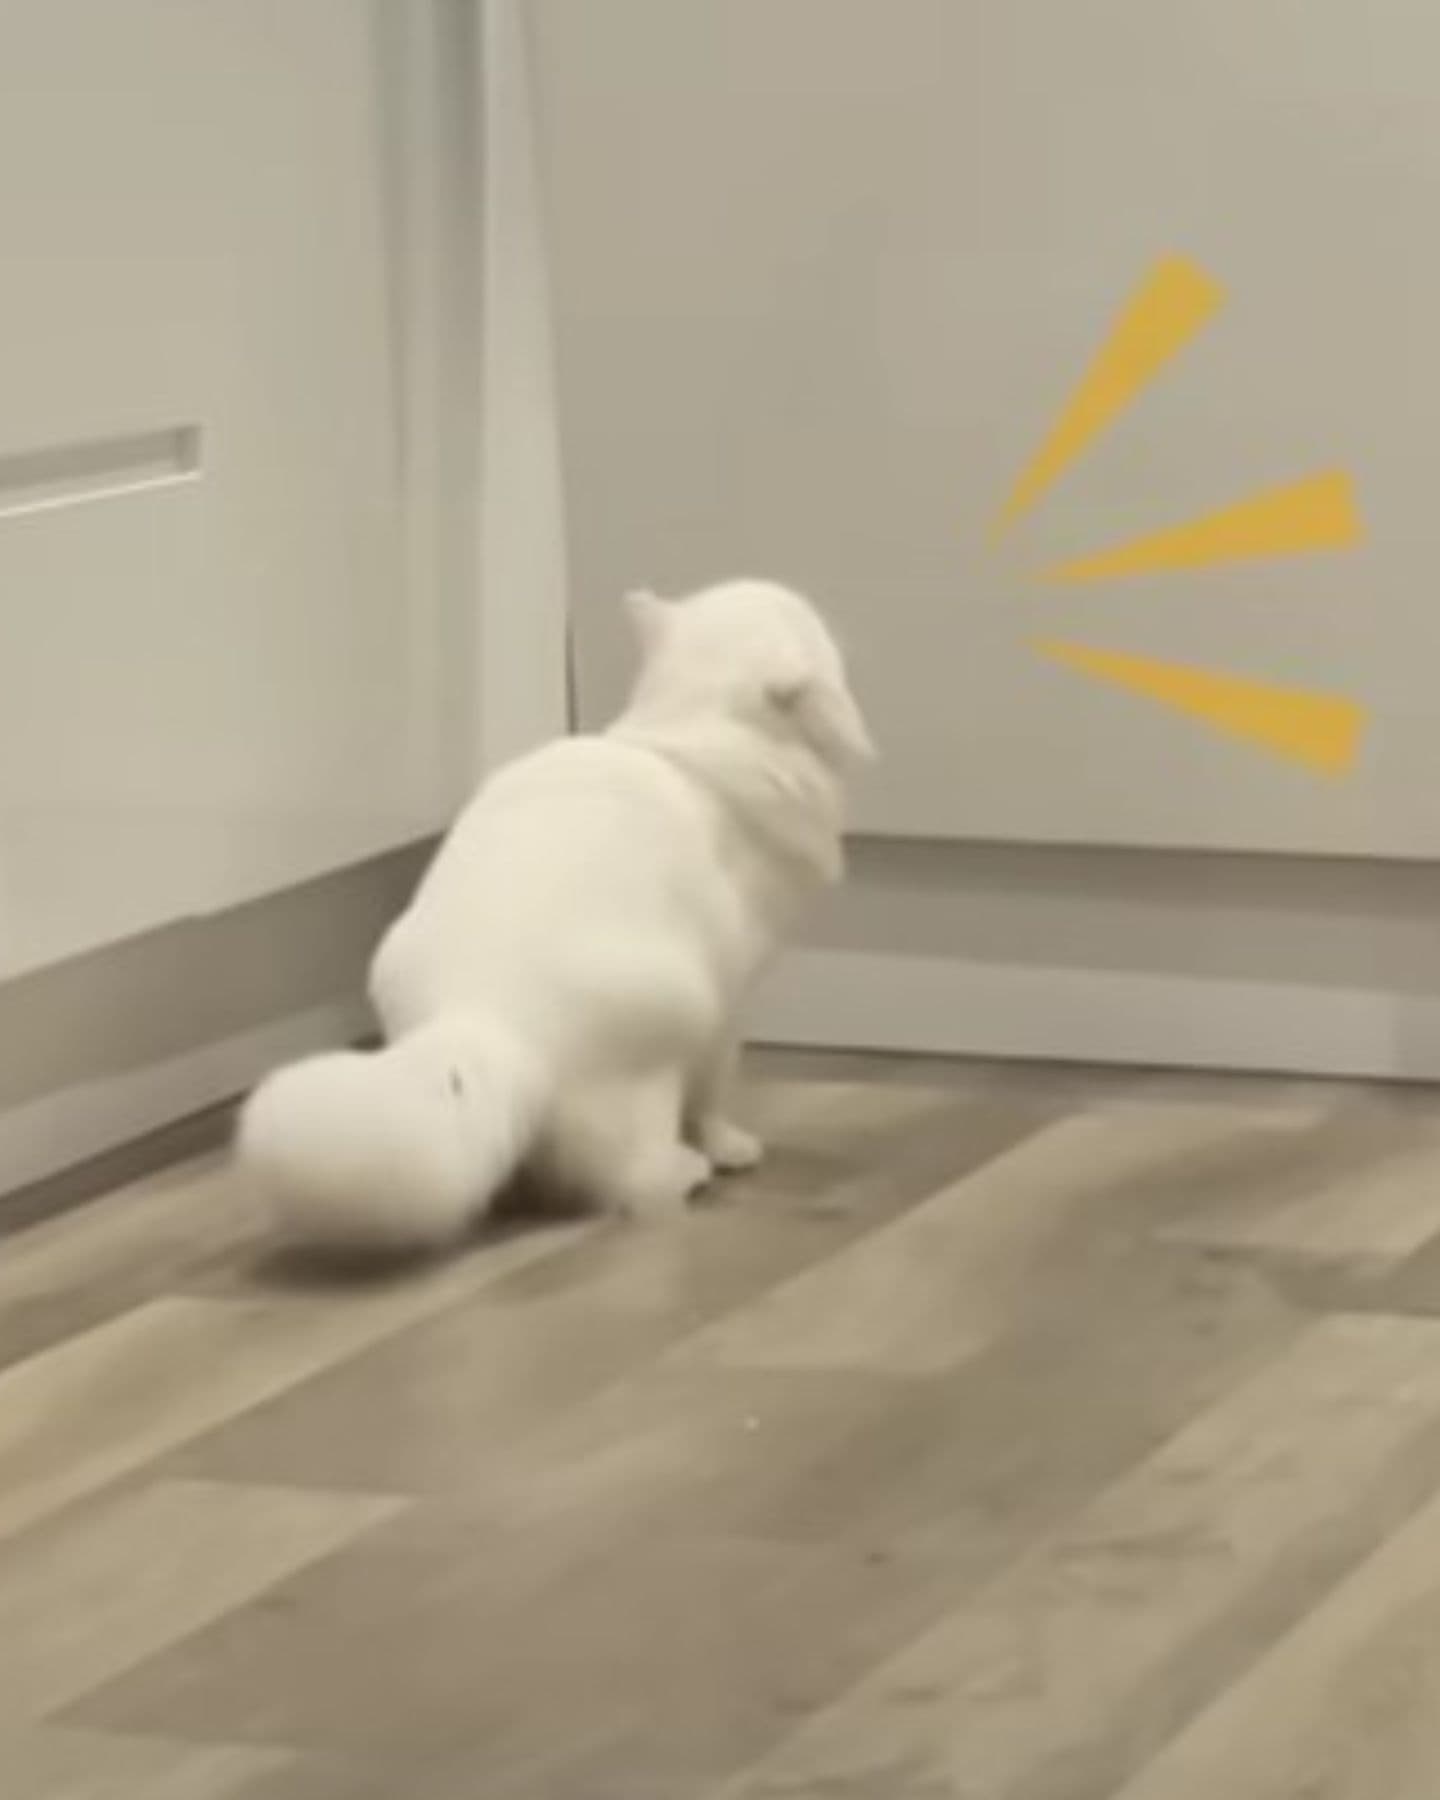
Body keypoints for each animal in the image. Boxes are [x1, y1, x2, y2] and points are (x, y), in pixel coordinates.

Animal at [239, 579, 867, 1252]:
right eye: (813, 624)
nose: (833, 622)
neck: (688, 733)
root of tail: (483, 1018)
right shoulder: (732, 998)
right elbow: (714, 1092)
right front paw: (730, 1149)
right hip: (668, 1033)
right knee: (637, 1177)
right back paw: (686, 1171)